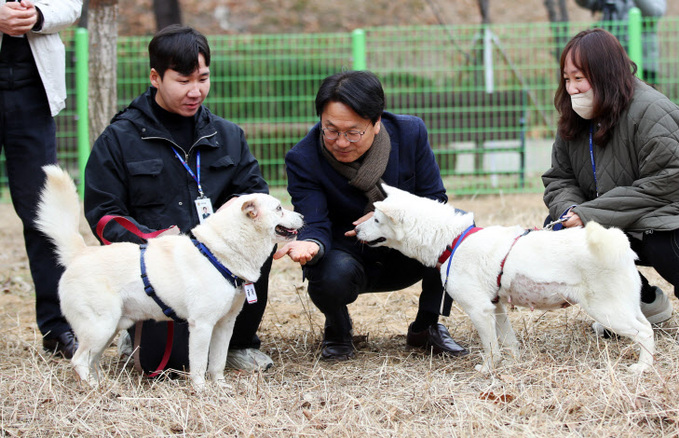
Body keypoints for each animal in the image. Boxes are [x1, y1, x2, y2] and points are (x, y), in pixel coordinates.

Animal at [35, 165, 306, 390]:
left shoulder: (224, 325)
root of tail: (81, 253)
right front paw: (202, 390)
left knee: (92, 360)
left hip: (108, 328)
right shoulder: (201, 325)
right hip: (100, 327)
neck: (217, 253)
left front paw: (220, 387)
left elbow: (217, 362)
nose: (303, 216)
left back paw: (103, 383)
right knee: (79, 360)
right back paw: (94, 387)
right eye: (279, 208)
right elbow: (199, 364)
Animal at [358, 185, 656, 372]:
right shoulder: (496, 307)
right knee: (646, 327)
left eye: (376, 220)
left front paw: (487, 369)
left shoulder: (480, 310)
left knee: (644, 332)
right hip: (624, 307)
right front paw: (514, 364)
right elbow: (510, 342)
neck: (453, 240)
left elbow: (491, 348)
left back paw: (642, 367)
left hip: (607, 312)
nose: (355, 229)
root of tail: (618, 243)